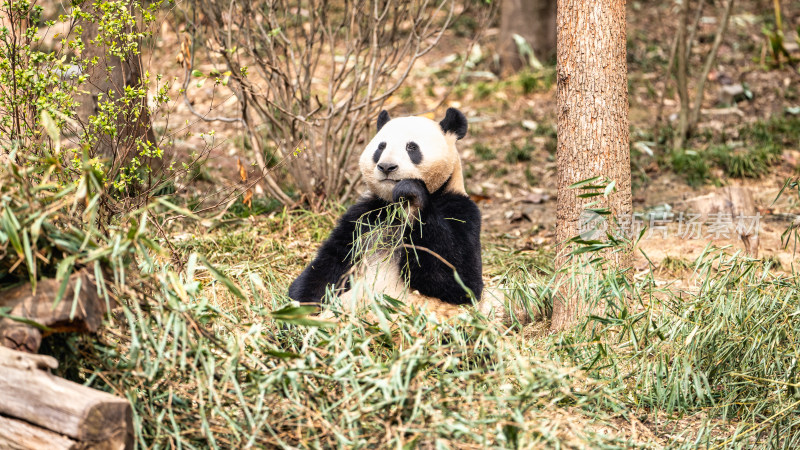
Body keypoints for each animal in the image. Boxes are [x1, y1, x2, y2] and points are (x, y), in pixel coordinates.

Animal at [290, 107, 484, 316]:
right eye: (381, 147)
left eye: (412, 147)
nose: (386, 167)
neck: (395, 205)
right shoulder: (366, 215)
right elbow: (332, 262)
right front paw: (299, 307)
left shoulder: (460, 208)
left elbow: (461, 279)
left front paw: (412, 193)